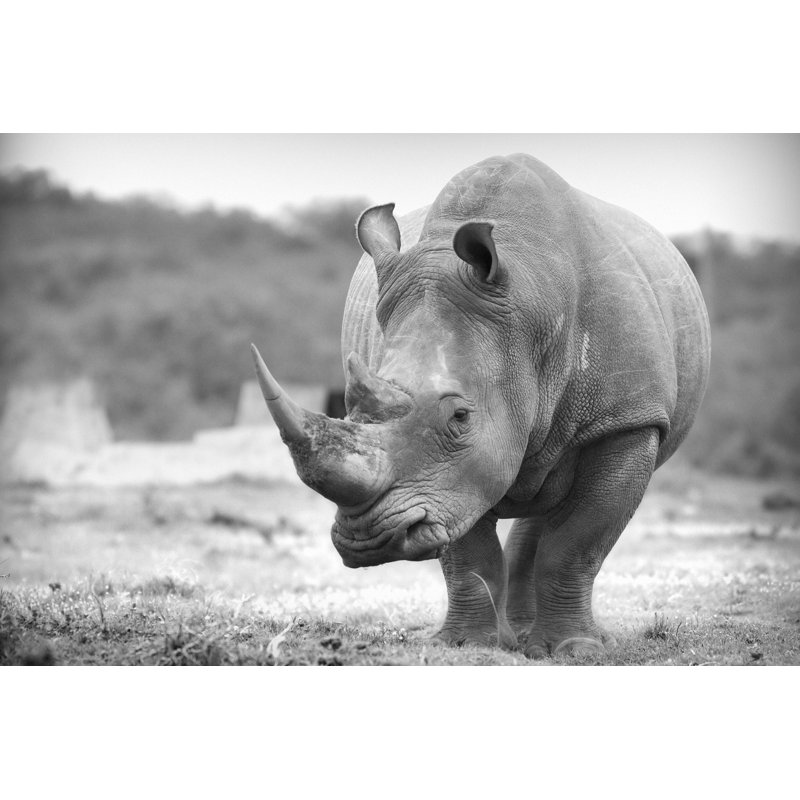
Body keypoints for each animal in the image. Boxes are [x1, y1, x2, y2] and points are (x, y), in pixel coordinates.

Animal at [250, 153, 710, 658]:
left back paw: (545, 640)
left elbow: (576, 543)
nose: (368, 541)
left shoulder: (627, 420)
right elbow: (468, 551)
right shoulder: (447, 482)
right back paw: (521, 636)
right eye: (349, 404)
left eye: (460, 416)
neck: (531, 307)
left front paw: (577, 650)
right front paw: (468, 646)